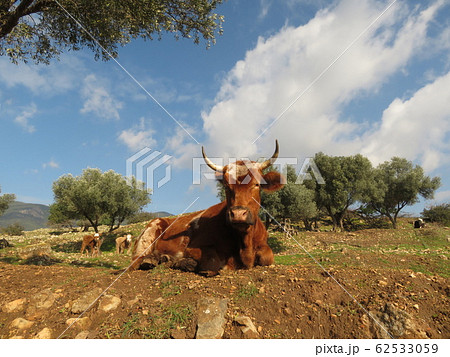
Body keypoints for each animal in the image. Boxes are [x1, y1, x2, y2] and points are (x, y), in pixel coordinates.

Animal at [131, 140, 284, 276]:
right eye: (226, 186)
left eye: (257, 184)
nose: (238, 213)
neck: (244, 244)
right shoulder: (193, 248)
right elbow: (212, 261)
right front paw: (186, 262)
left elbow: (267, 256)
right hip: (149, 234)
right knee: (136, 260)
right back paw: (151, 260)